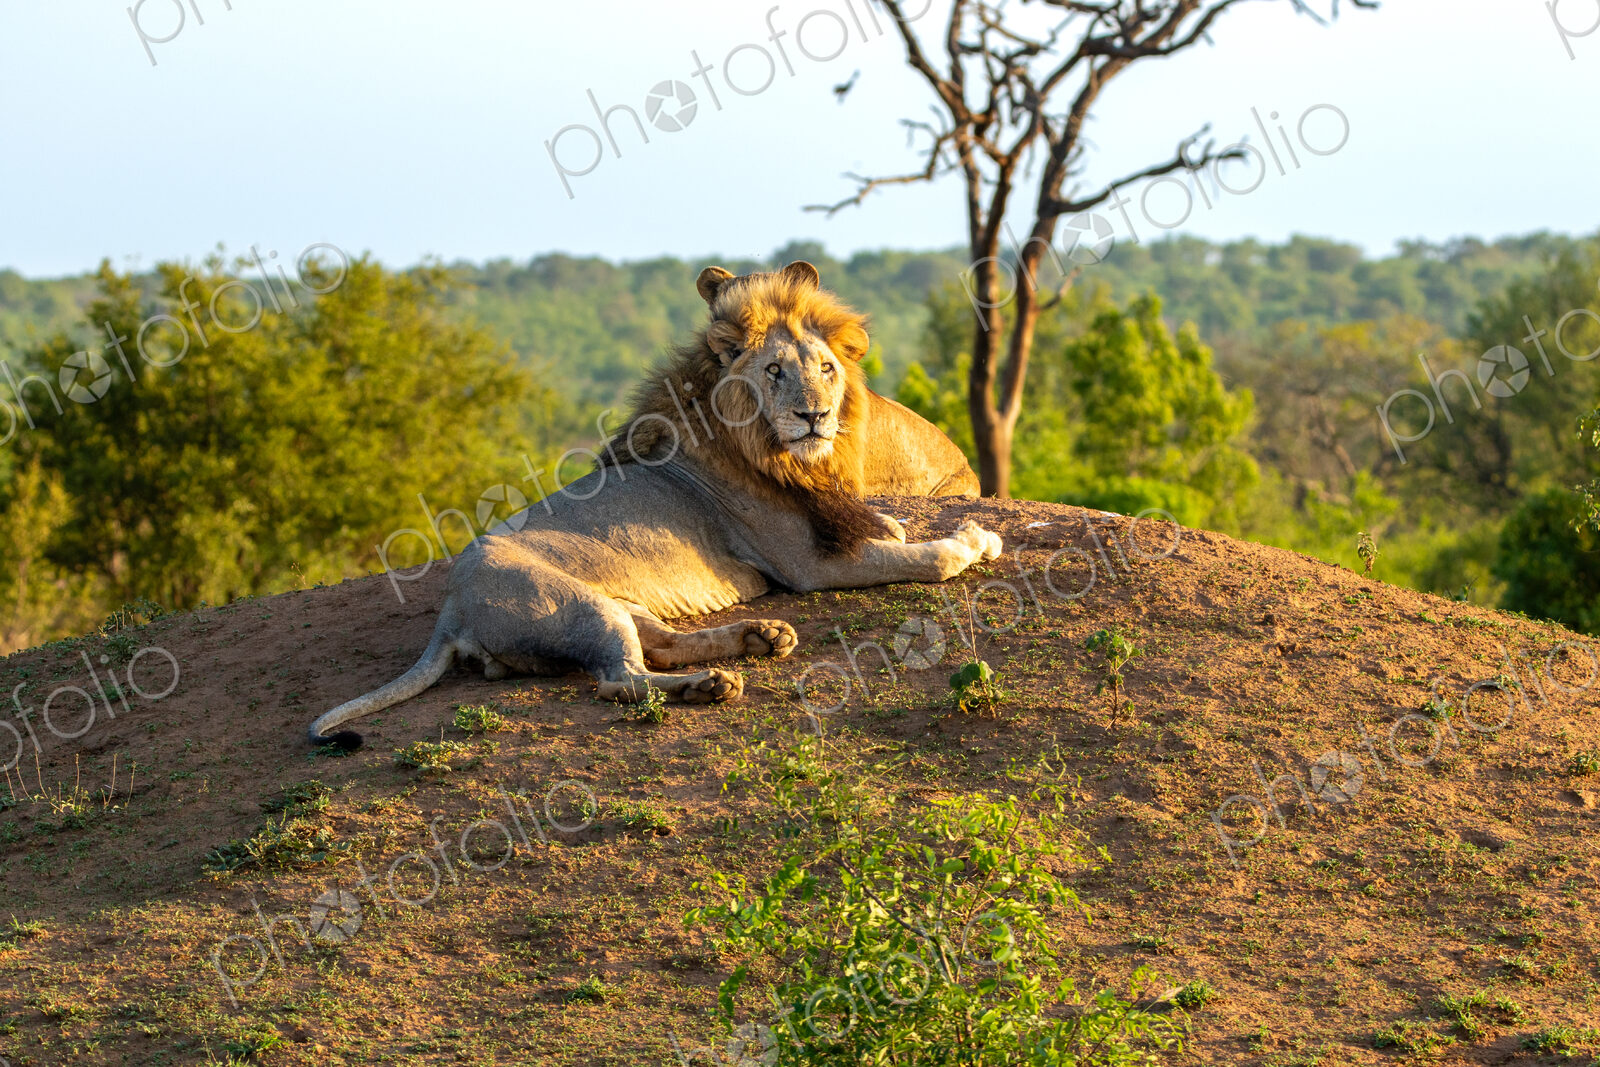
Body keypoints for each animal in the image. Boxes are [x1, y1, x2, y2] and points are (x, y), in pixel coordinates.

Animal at [307, 261, 999, 748]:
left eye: (826, 368)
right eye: (774, 372)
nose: (815, 416)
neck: (775, 453)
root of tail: (450, 611)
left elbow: (893, 530)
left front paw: (913, 525)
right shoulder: (808, 565)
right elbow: (924, 559)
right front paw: (972, 539)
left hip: (617, 605)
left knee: (660, 642)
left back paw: (761, 637)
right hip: (577, 606)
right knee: (622, 680)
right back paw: (714, 685)